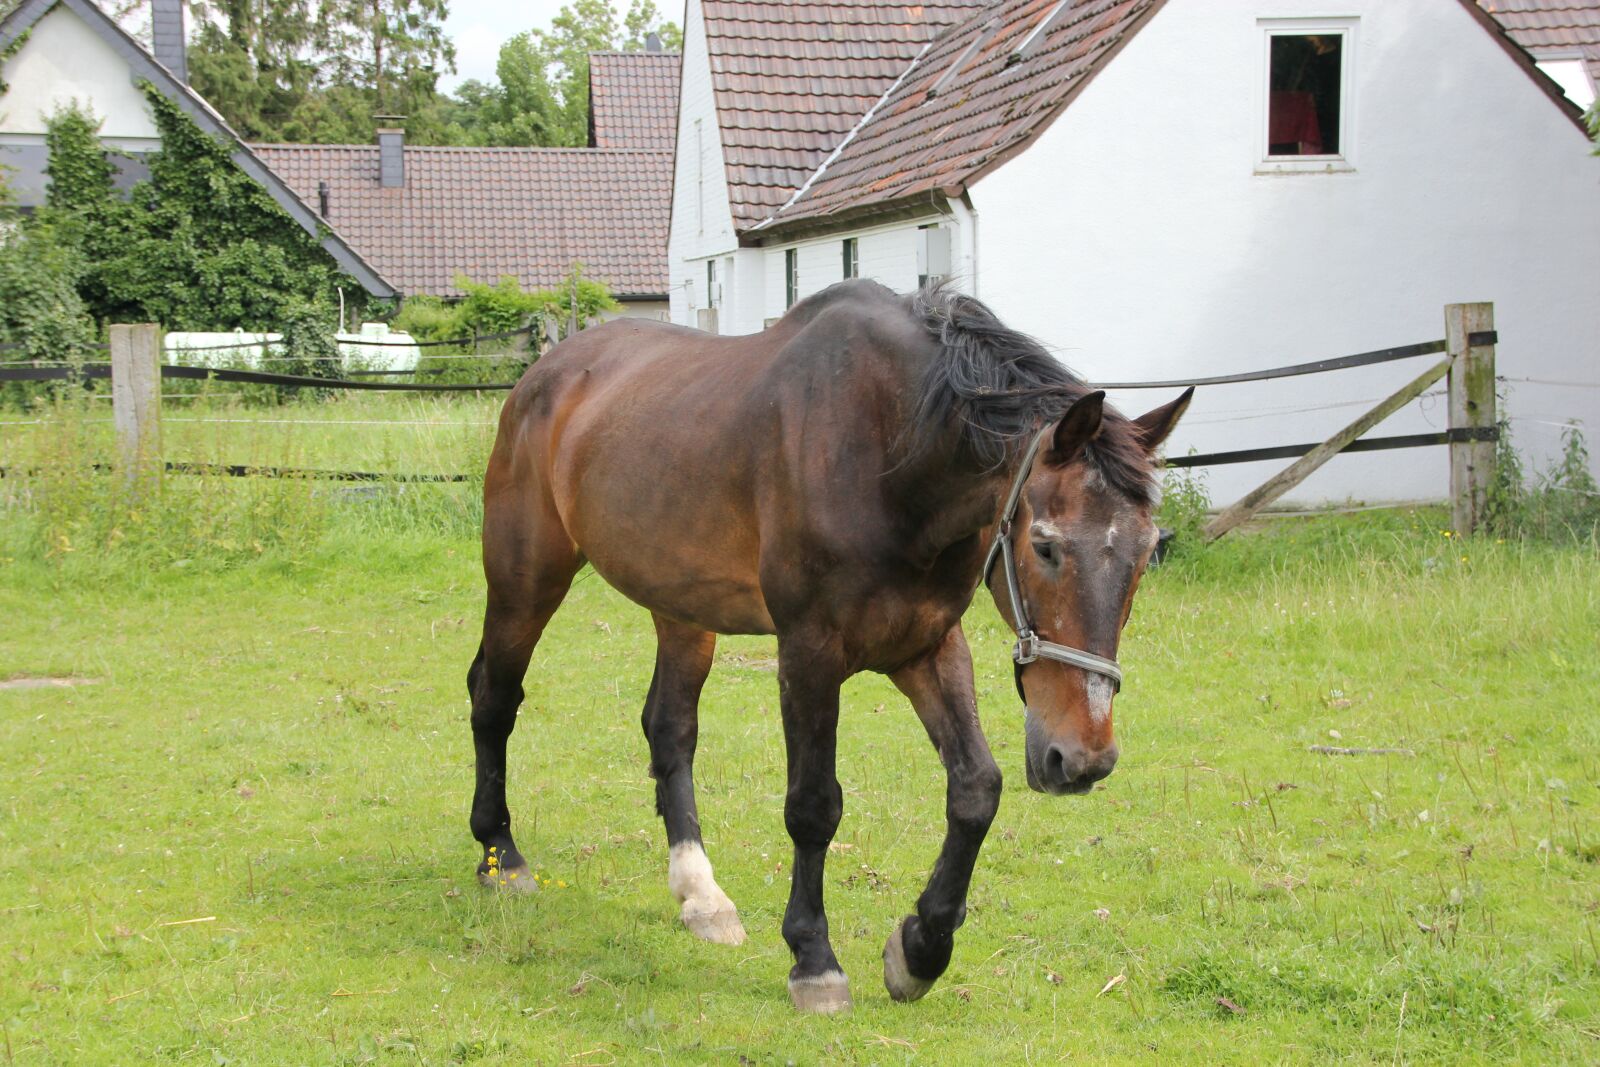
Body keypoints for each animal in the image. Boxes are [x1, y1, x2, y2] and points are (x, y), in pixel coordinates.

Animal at [466, 280, 1191, 1013]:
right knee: (494, 696)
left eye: (1145, 551)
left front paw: (920, 949)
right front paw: (814, 959)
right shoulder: (808, 652)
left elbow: (976, 789)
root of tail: (545, 374)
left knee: (669, 727)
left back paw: (702, 896)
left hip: (681, 605)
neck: (889, 454)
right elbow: (814, 805)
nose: (1083, 758)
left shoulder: (926, 644)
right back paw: (501, 856)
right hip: (527, 577)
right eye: (1045, 546)